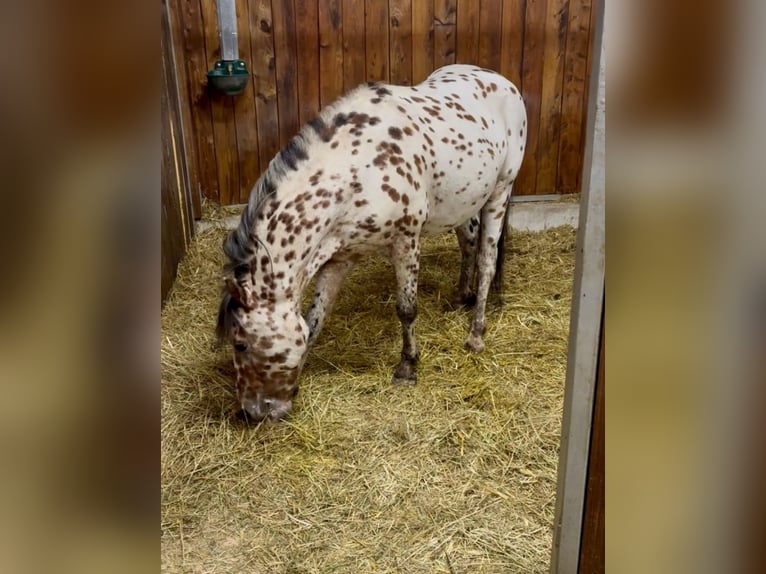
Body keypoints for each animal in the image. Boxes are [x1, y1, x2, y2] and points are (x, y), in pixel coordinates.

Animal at [216, 64, 527, 421]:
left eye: (240, 343)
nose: (253, 412)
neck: (358, 168)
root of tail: (503, 81)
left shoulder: (406, 241)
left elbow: (406, 309)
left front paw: (407, 368)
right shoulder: (339, 256)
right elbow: (314, 319)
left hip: (499, 191)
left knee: (487, 261)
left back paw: (475, 334)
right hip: (462, 202)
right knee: (469, 243)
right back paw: (462, 296)